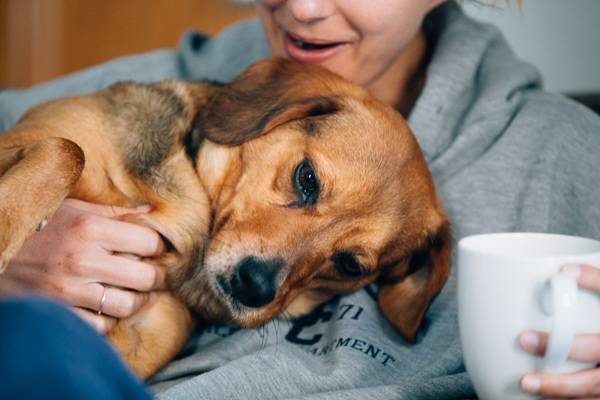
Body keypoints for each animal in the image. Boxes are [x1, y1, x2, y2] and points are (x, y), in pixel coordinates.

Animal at [0, 58, 450, 378]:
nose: (253, 287)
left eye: (350, 265)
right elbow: (66, 149)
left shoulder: (158, 323)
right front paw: (7, 230)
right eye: (307, 178)